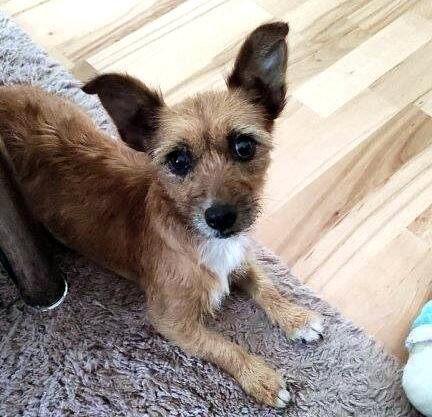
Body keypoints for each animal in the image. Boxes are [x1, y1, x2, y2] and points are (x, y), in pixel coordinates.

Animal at [0, 22, 323, 407]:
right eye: (177, 160)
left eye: (244, 146)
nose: (221, 217)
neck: (196, 236)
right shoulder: (171, 321)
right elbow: (223, 345)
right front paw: (261, 377)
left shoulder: (241, 258)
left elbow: (266, 285)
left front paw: (296, 317)